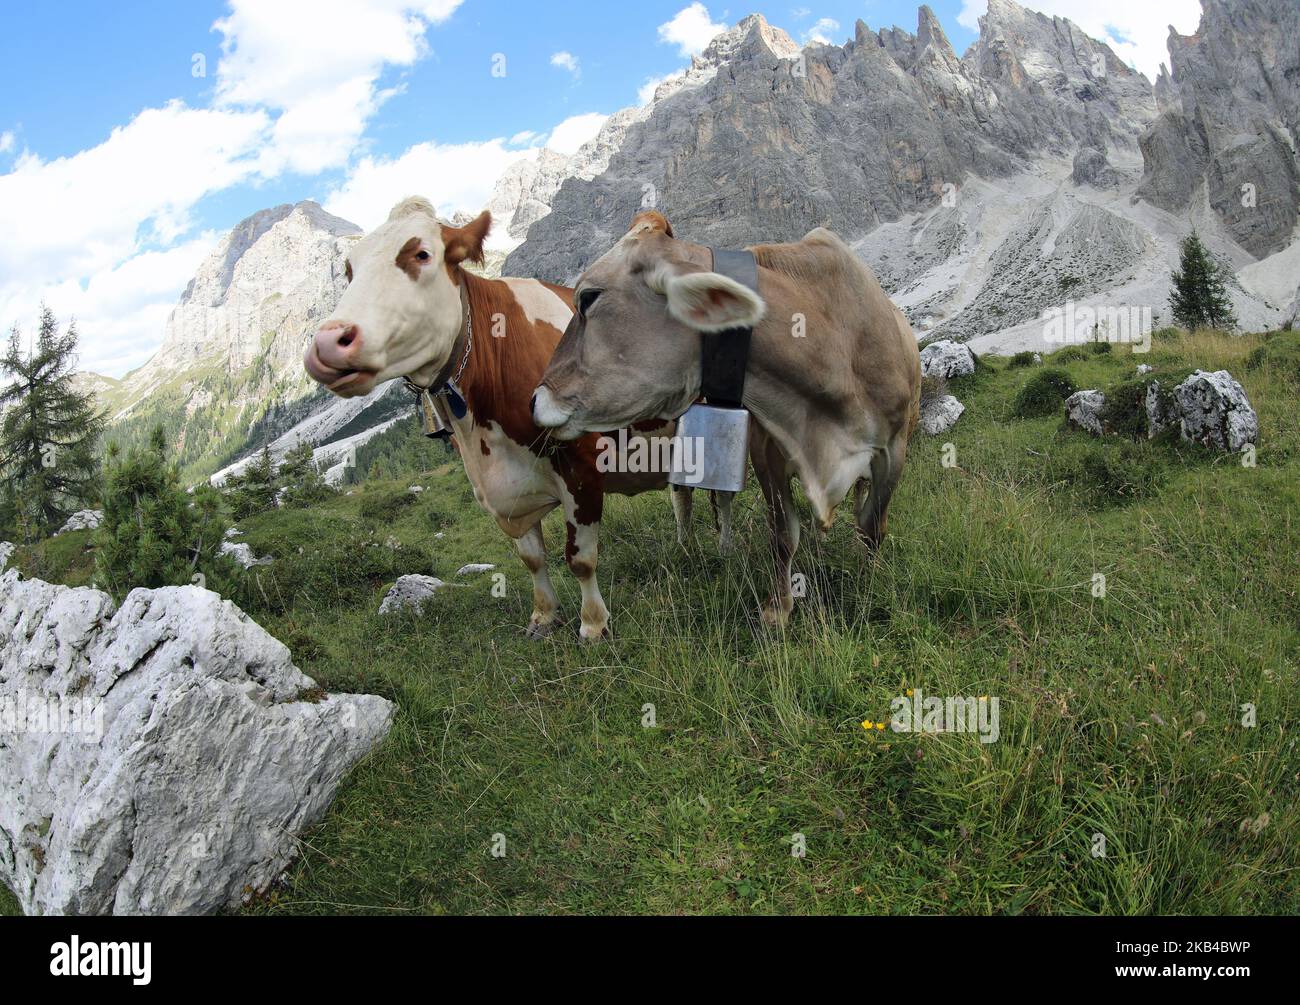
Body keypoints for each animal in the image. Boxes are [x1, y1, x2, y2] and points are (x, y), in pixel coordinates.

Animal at [303, 197, 729, 640]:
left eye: (421, 254)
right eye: (349, 269)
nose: (328, 343)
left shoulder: (581, 470)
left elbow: (580, 558)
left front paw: (593, 625)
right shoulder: (508, 490)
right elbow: (532, 558)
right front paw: (543, 618)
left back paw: (721, 548)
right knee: (682, 495)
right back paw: (685, 548)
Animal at [531, 211, 922, 628]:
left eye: (588, 297)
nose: (534, 400)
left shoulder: (894, 448)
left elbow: (872, 523)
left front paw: (870, 578)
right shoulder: (767, 453)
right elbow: (783, 534)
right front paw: (778, 610)